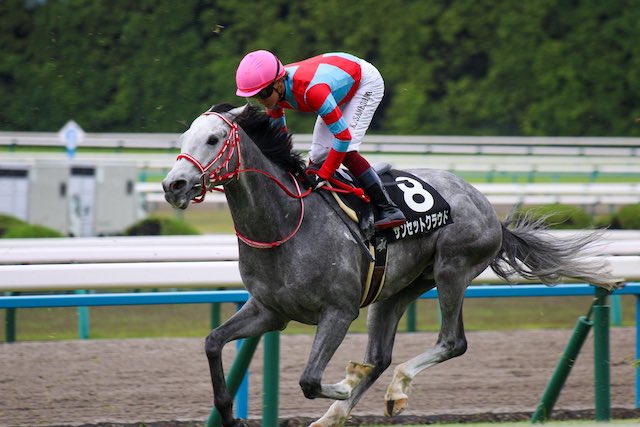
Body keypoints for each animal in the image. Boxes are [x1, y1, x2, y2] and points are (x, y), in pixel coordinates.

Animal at [161, 104, 620, 427]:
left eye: (214, 138)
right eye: (184, 137)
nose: (173, 185)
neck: (288, 223)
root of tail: (488, 208)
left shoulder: (338, 311)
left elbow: (310, 379)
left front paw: (345, 382)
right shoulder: (269, 310)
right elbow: (212, 342)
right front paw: (229, 413)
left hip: (452, 269)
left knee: (452, 342)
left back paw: (394, 389)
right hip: (396, 290)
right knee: (380, 356)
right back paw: (335, 414)